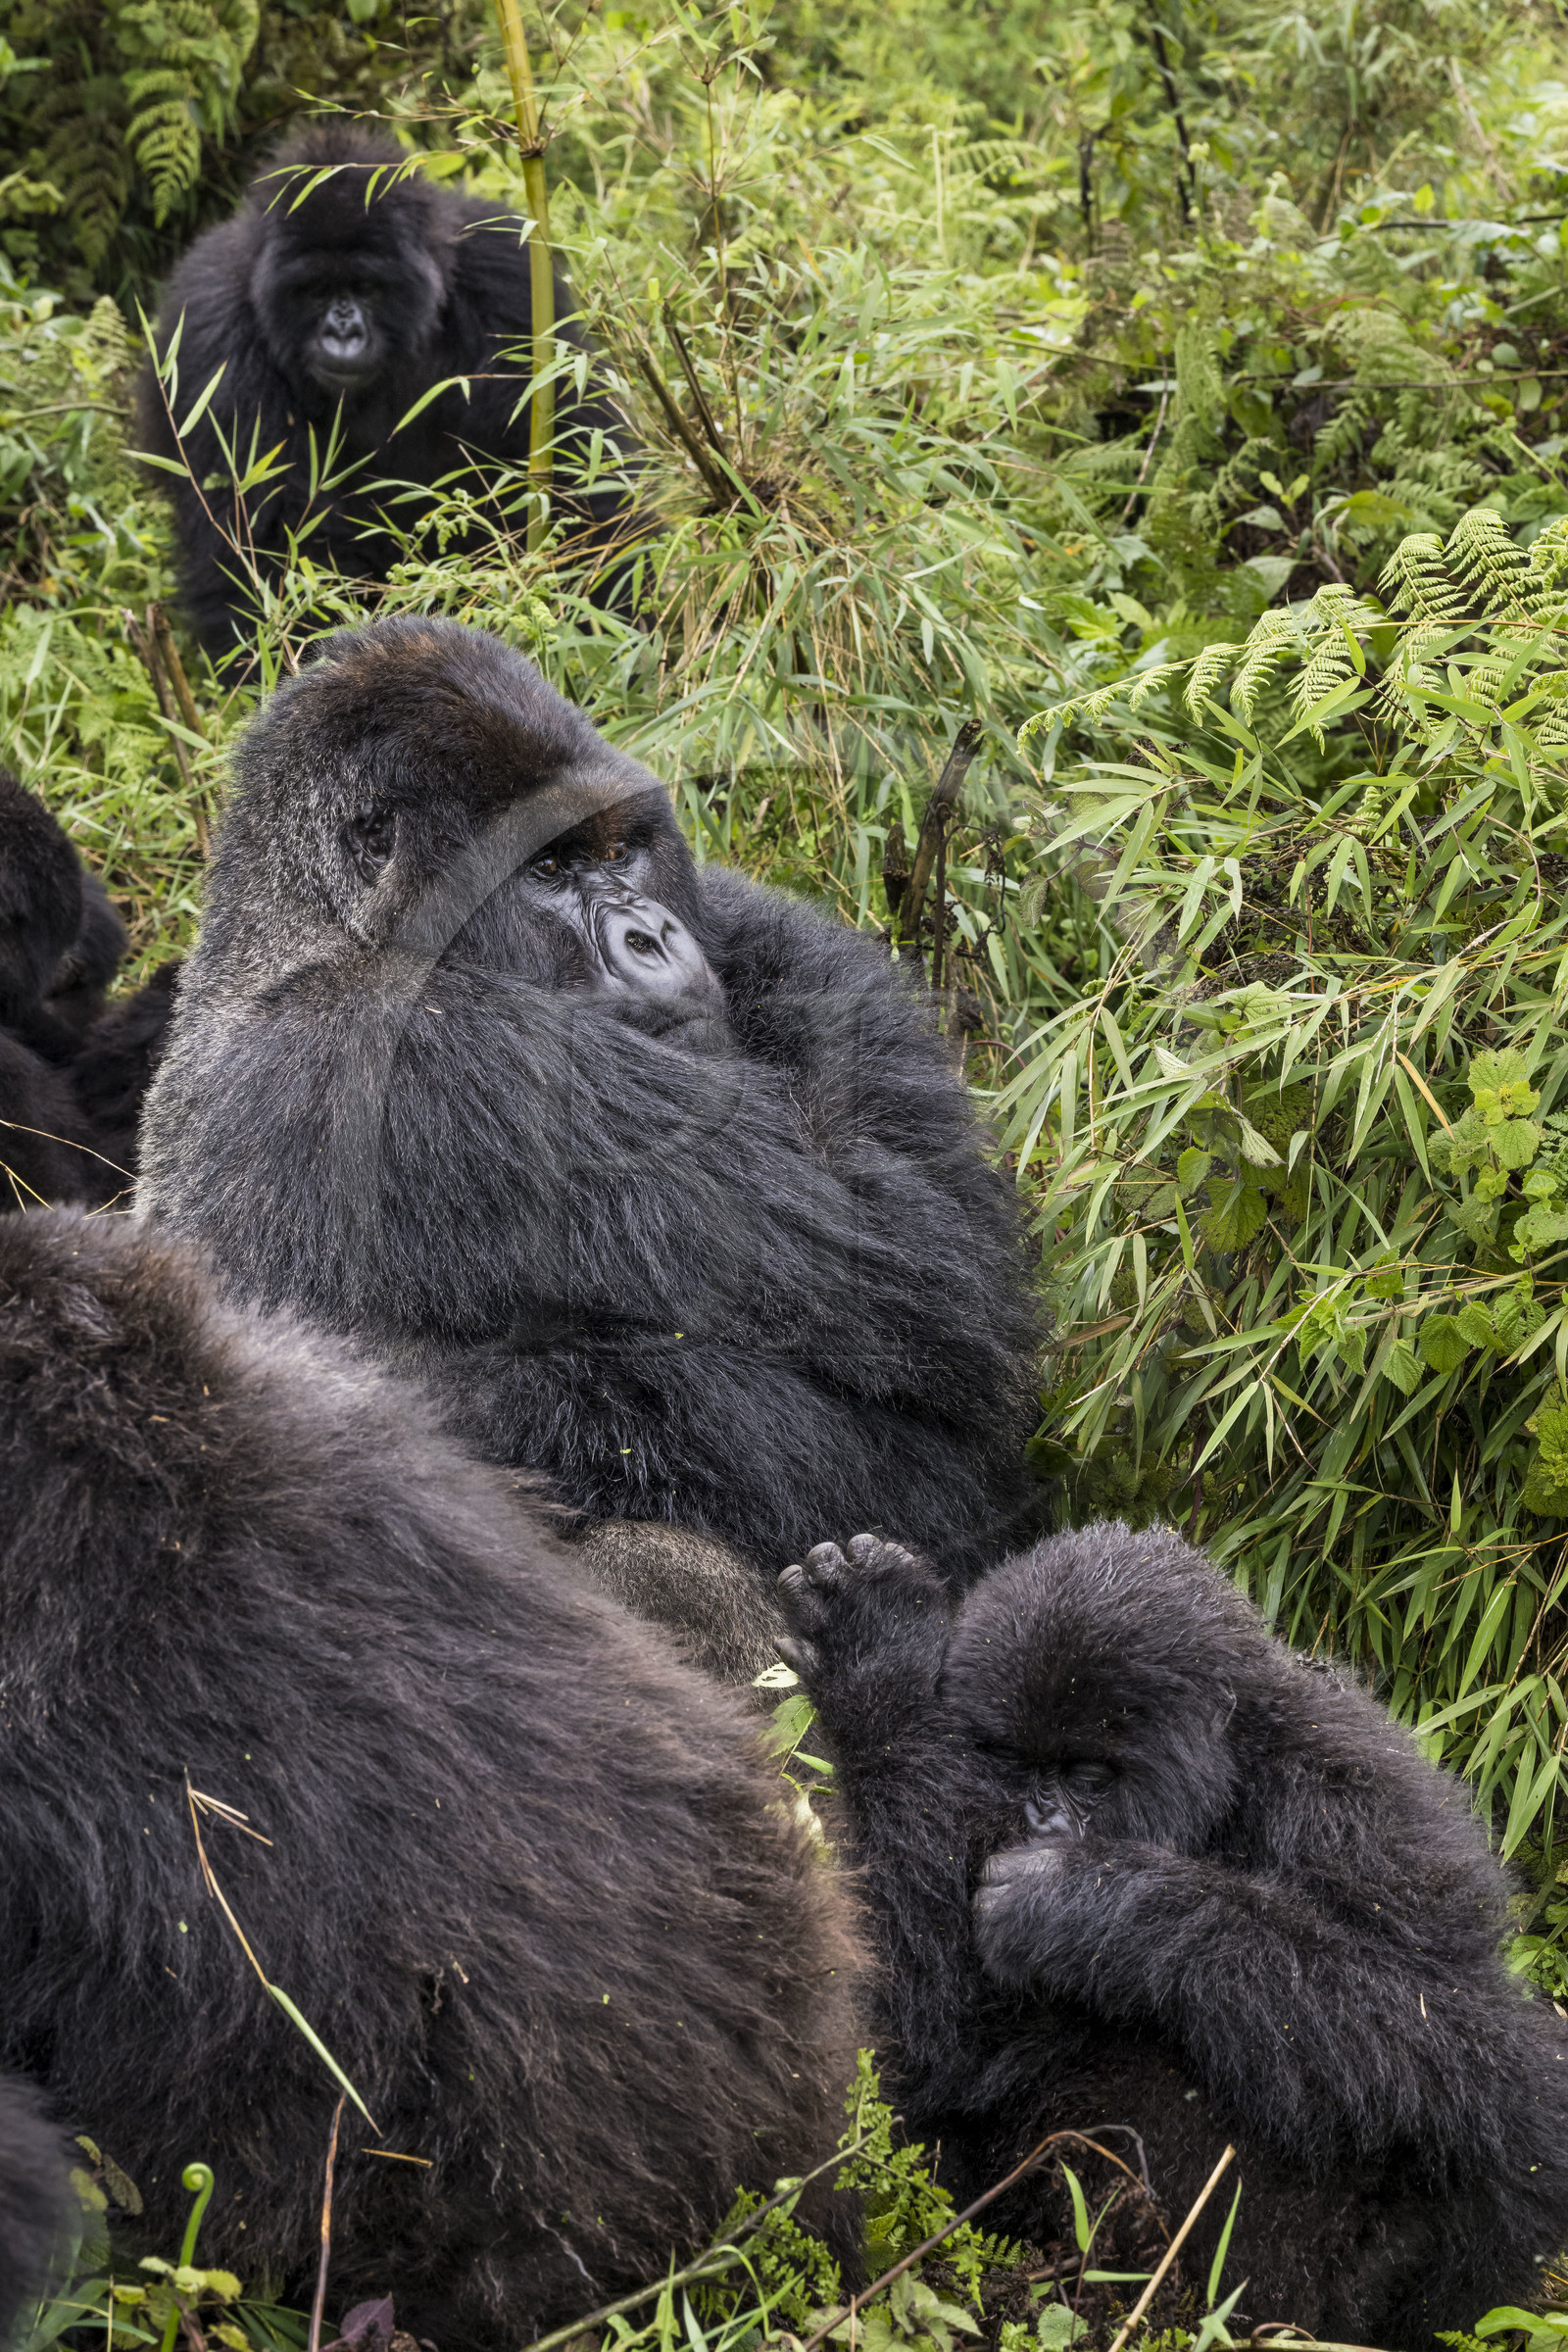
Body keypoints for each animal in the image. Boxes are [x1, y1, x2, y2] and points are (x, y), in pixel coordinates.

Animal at [136, 616, 1042, 1682]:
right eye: (549, 870)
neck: (312, 934)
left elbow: (938, 1243)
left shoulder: (751, 916)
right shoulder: (435, 1054)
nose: (651, 936)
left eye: (620, 850)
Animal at [137, 124, 643, 656]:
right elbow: (267, 545)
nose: (342, 333)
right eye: (315, 291)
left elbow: (577, 467)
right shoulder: (210, 332)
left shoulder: (510, 282)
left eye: (365, 287)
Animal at [775, 1520, 1568, 2347]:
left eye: (1089, 1776)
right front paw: (879, 1663)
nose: (1035, 1820)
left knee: (1516, 2113)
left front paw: (1087, 1905)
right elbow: (930, 2042)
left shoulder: (1354, 1788)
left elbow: (1457, 2022)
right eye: (1007, 1762)